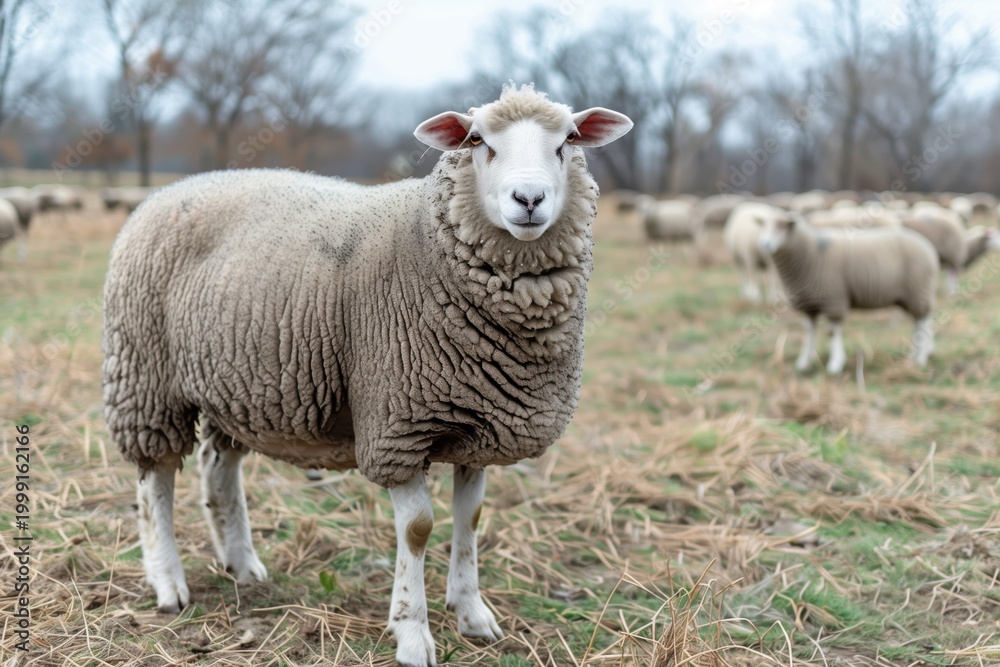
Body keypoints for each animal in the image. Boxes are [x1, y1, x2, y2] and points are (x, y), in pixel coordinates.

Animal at [102, 83, 632, 667]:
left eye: (567, 141)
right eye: (477, 141)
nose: (529, 199)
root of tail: (171, 190)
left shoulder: (481, 419)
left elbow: (469, 518)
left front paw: (472, 614)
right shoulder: (396, 421)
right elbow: (419, 530)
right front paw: (412, 632)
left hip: (236, 384)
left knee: (219, 467)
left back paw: (242, 564)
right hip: (145, 376)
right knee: (156, 481)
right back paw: (167, 582)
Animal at [757, 215, 938, 374]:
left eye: (783, 226)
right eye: (763, 226)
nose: (765, 244)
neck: (810, 250)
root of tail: (927, 246)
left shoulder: (833, 298)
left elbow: (833, 332)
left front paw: (835, 364)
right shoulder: (808, 304)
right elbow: (809, 331)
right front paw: (803, 363)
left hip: (918, 289)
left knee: (922, 321)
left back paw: (920, 358)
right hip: (911, 296)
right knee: (919, 322)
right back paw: (916, 355)